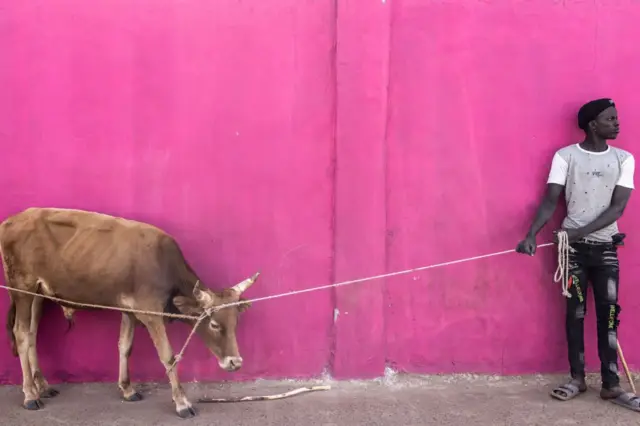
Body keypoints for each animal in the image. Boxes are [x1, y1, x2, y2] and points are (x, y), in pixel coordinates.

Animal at [1, 208, 260, 418]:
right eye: (214, 324)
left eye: (236, 321)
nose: (235, 362)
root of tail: (13, 220)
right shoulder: (150, 311)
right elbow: (168, 356)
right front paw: (182, 403)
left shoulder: (130, 310)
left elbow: (125, 346)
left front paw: (127, 389)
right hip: (22, 288)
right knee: (21, 334)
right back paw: (30, 395)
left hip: (38, 294)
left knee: (32, 334)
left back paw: (43, 385)